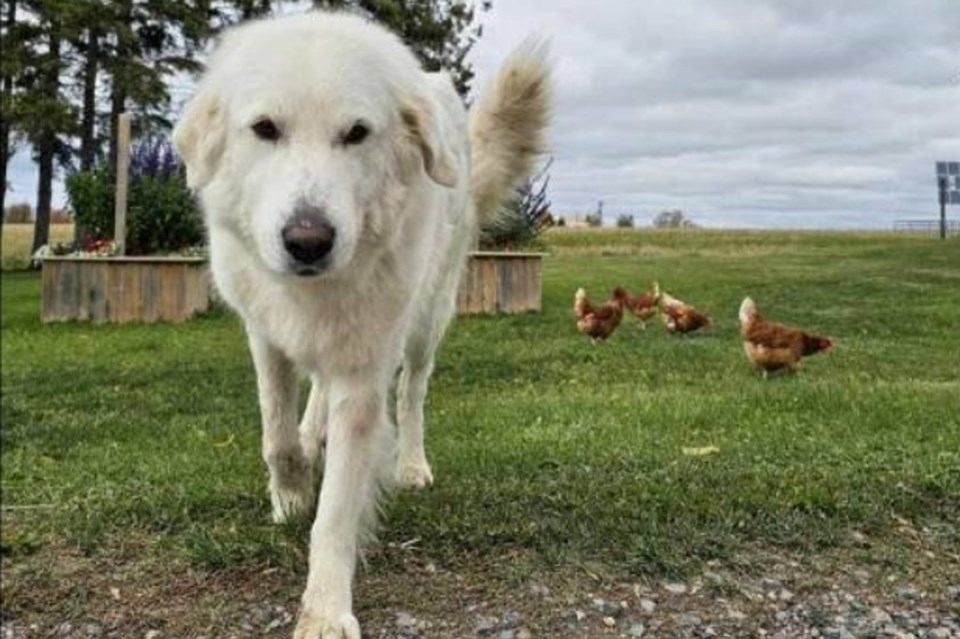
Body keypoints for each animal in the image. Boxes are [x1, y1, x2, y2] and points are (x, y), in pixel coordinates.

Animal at [172, 11, 548, 639]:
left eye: (356, 133)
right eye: (265, 129)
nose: (307, 242)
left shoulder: (365, 367)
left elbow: (338, 510)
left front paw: (324, 611)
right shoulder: (265, 336)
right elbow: (277, 438)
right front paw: (291, 495)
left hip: (427, 320)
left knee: (412, 392)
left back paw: (411, 464)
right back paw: (312, 436)